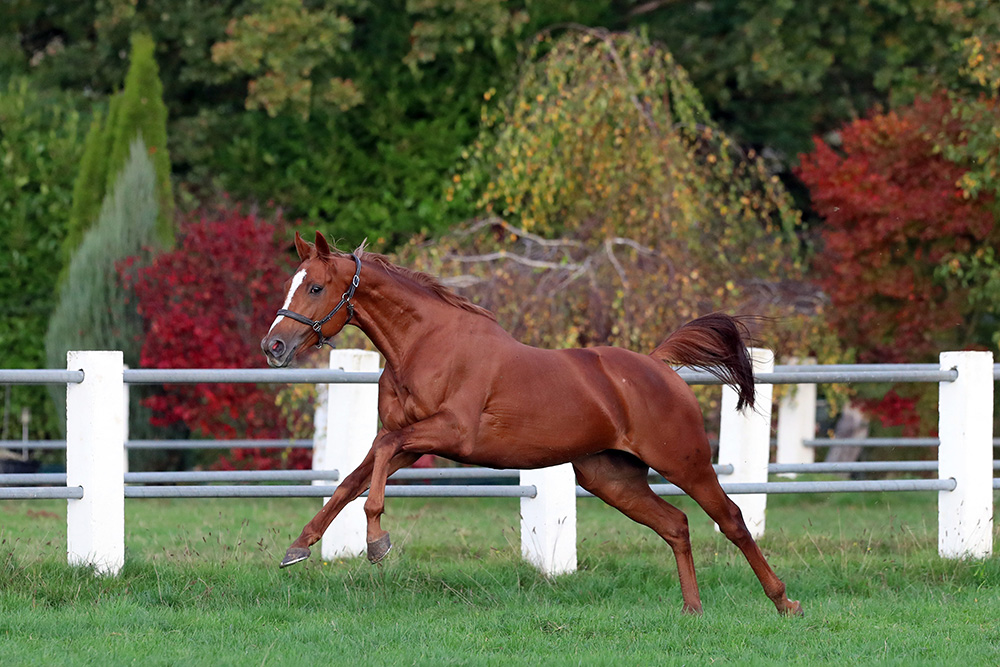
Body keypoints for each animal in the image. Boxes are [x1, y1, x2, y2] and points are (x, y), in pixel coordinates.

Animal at [262, 232, 800, 620]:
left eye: (315, 287)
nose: (274, 347)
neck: (426, 345)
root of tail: (658, 365)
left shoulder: (449, 434)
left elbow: (374, 466)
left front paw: (376, 542)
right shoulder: (411, 443)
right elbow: (354, 477)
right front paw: (299, 547)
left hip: (685, 463)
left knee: (731, 520)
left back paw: (784, 602)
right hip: (612, 478)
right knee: (676, 525)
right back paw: (692, 609)